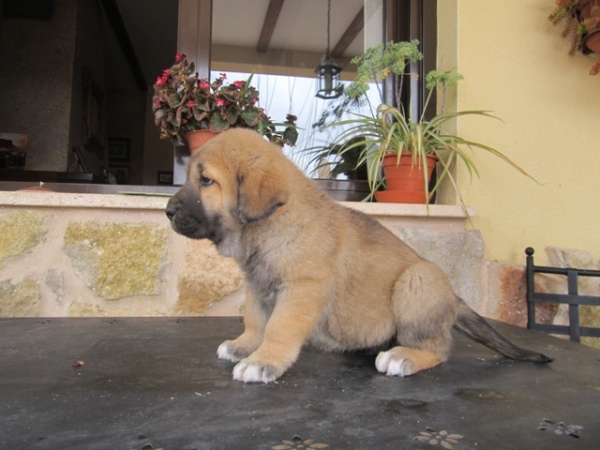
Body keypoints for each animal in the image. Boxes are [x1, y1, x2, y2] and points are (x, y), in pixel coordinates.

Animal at [166, 127, 552, 384]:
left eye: (206, 181)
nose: (168, 211)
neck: (268, 225)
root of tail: (455, 300)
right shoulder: (259, 288)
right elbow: (256, 322)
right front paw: (245, 346)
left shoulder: (301, 289)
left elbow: (278, 327)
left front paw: (264, 361)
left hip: (419, 280)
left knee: (439, 349)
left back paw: (402, 357)